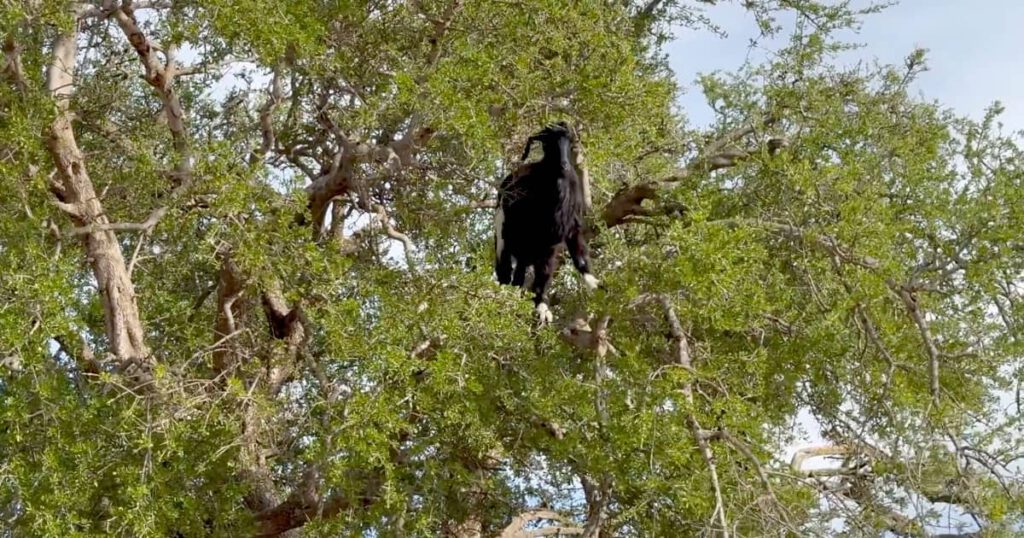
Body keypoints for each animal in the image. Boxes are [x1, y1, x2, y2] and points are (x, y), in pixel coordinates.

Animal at [494, 122, 599, 323]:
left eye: (570, 140)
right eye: (547, 141)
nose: (564, 165)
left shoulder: (564, 234)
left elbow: (576, 260)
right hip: (504, 237)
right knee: (504, 268)